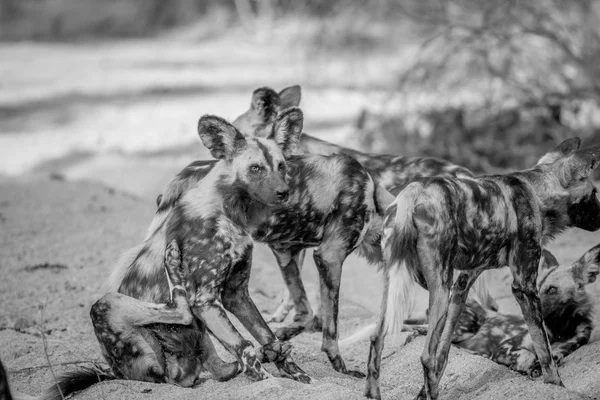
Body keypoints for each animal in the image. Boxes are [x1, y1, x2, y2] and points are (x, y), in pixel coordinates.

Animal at [364, 138, 600, 400]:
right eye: (594, 193)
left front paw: (426, 390)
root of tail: (413, 191)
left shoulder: (462, 285)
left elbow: (444, 352)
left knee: (377, 338)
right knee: (426, 355)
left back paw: (375, 394)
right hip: (440, 288)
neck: (536, 192)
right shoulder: (524, 288)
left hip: (403, 284)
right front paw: (555, 386)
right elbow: (544, 350)